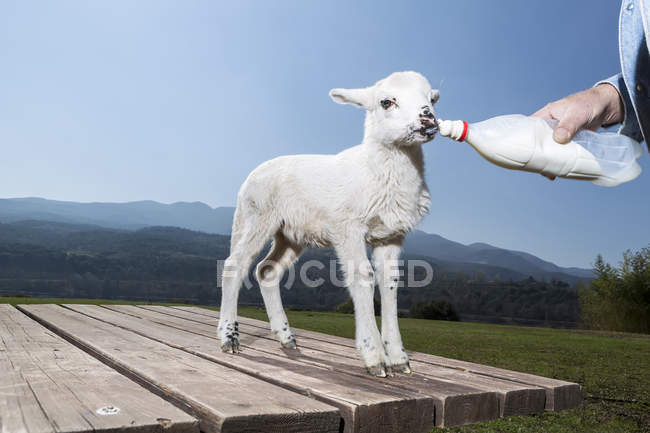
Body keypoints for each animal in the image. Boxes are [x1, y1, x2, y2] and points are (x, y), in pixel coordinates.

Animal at [215, 71, 438, 374]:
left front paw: (399, 359)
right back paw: (229, 337)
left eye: (432, 99)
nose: (428, 120)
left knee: (267, 271)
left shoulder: (391, 235)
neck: (377, 170)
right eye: (386, 102)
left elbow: (390, 284)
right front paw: (374, 357)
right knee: (233, 266)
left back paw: (286, 338)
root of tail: (249, 177)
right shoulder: (349, 228)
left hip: (290, 234)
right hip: (257, 217)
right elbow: (363, 278)